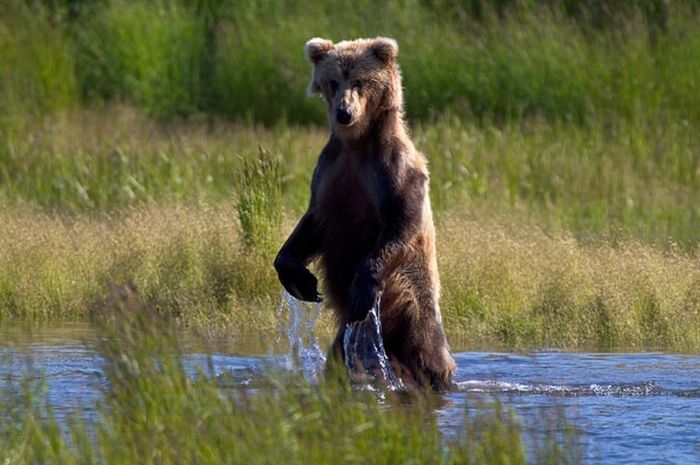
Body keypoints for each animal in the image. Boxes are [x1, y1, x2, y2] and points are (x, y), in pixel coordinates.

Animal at [274, 37, 454, 392]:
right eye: (333, 81)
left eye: (360, 81)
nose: (344, 113)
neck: (356, 145)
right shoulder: (330, 172)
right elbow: (312, 224)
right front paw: (301, 280)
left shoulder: (391, 170)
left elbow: (402, 221)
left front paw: (362, 285)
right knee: (340, 356)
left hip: (413, 301)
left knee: (428, 351)